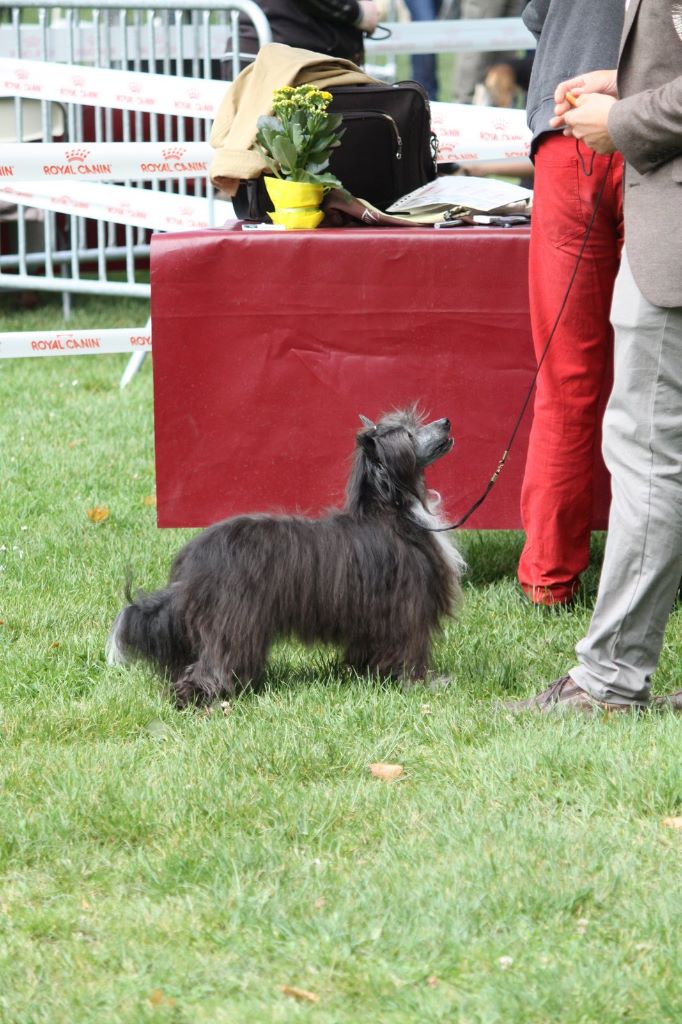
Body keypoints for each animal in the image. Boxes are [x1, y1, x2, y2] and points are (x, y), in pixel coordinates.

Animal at [106, 407, 464, 704]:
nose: (447, 422)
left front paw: (364, 674)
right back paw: (202, 697)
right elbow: (410, 649)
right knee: (214, 662)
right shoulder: (407, 608)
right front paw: (422, 683)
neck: (392, 509)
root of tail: (193, 565)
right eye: (408, 435)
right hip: (233, 620)